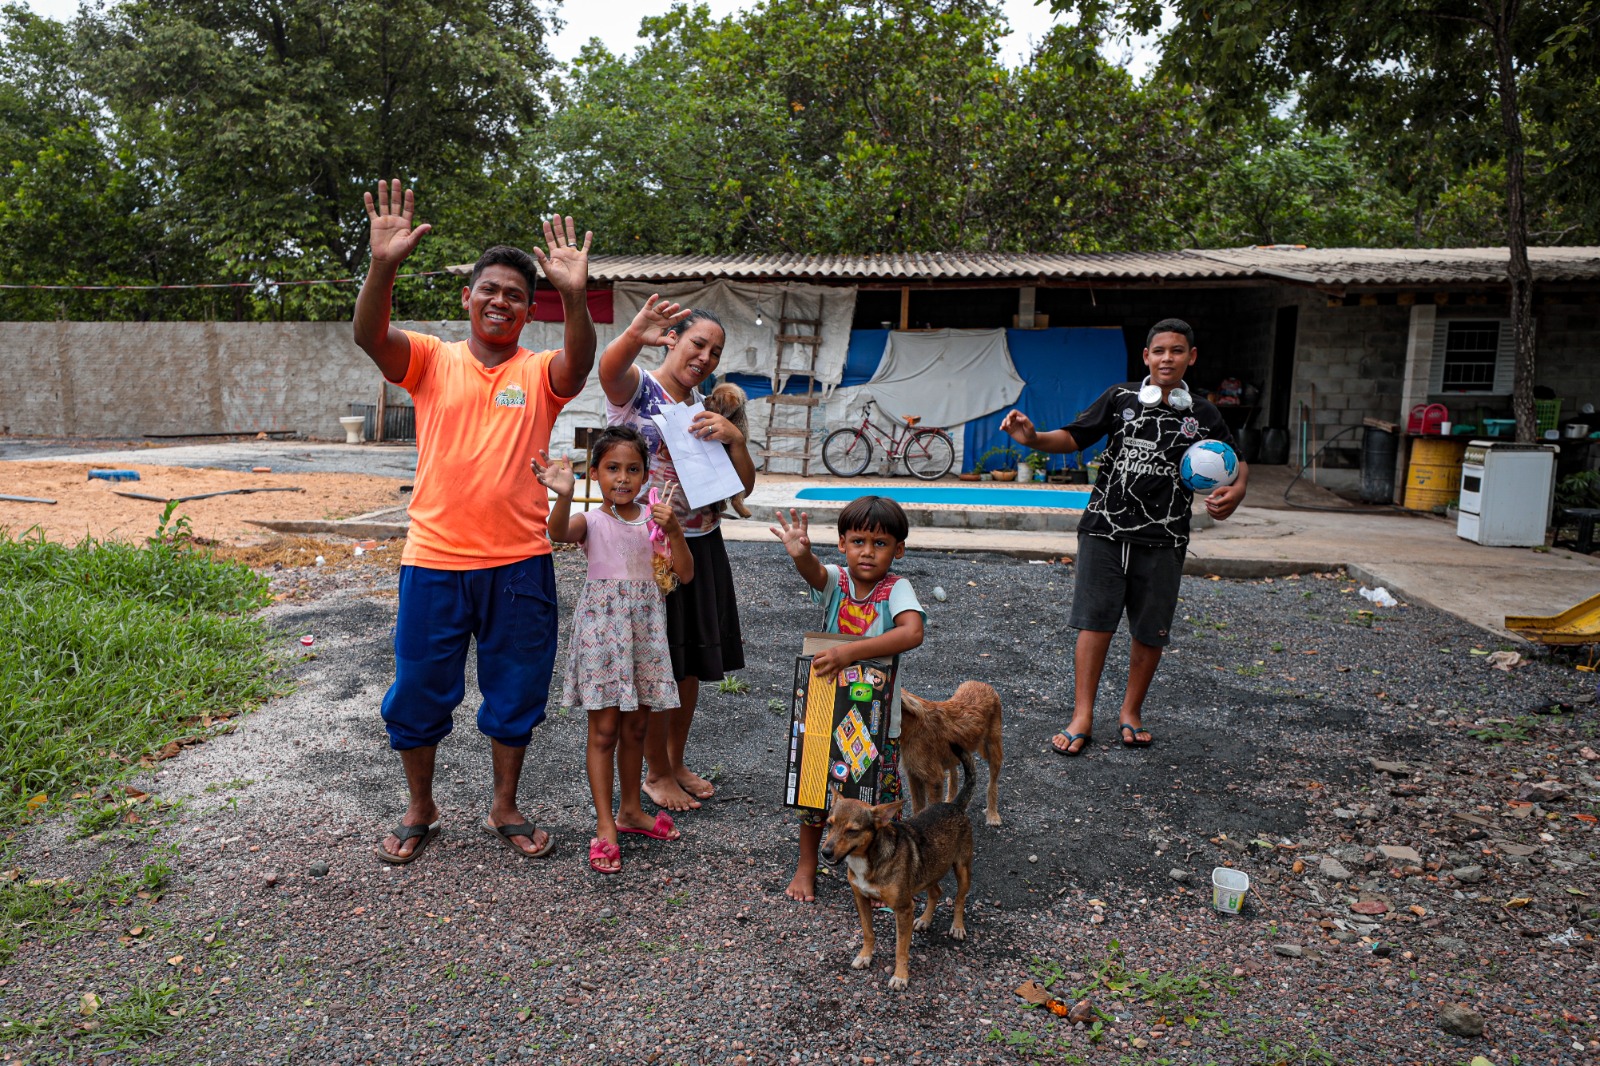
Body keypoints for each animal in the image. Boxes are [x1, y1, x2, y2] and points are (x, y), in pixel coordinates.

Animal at [825, 742, 972, 985]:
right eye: (829, 824)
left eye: (852, 831)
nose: (825, 853)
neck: (868, 861)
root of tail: (955, 805)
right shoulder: (861, 899)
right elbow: (868, 933)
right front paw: (865, 956)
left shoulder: (903, 909)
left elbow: (901, 948)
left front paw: (900, 976)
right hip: (929, 870)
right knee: (937, 892)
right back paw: (925, 920)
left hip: (962, 868)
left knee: (960, 898)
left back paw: (958, 927)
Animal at [902, 685, 998, 825]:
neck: (913, 724)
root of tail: (983, 684)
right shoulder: (914, 775)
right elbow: (917, 805)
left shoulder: (934, 779)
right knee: (954, 772)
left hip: (993, 749)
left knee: (993, 782)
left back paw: (992, 814)